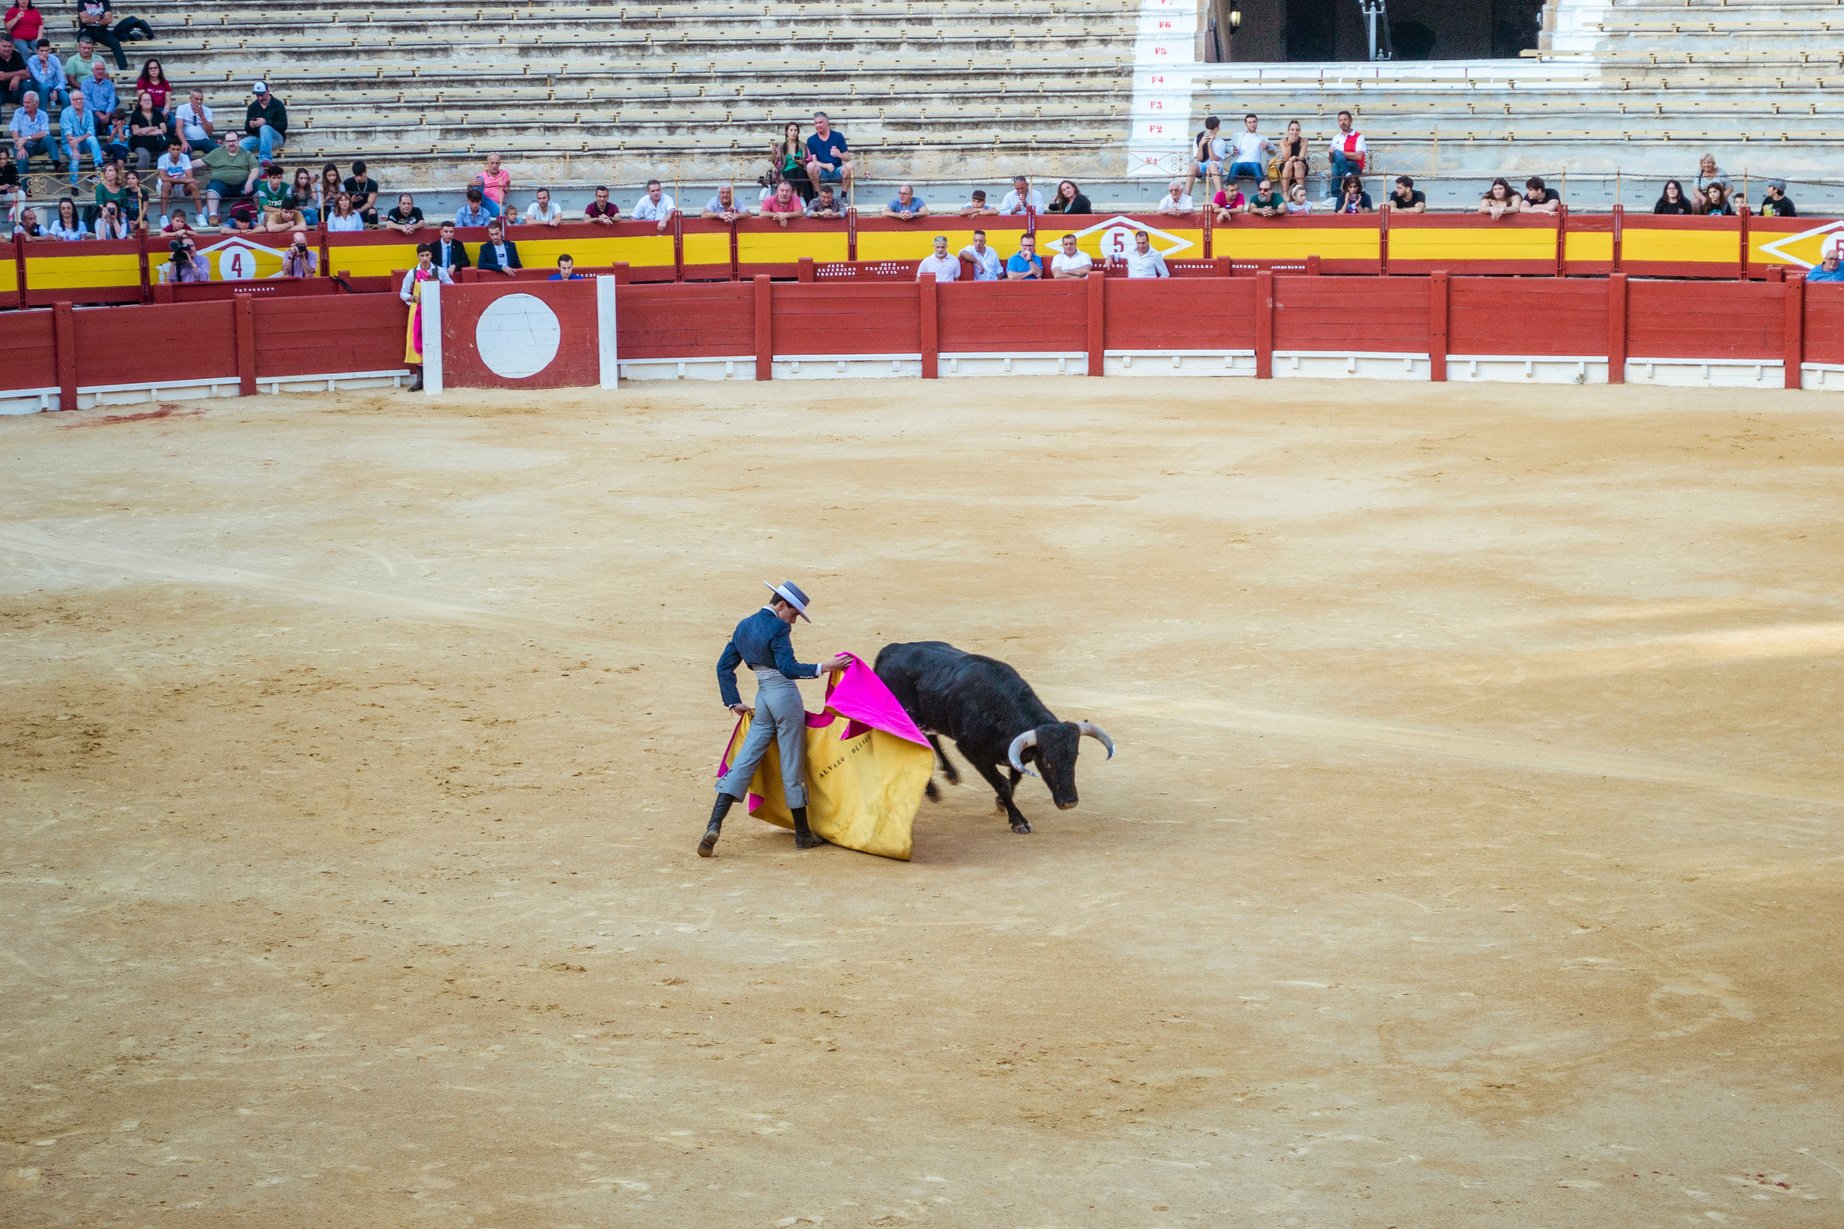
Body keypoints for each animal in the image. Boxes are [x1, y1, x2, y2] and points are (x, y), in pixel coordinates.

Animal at [870, 642, 1113, 834]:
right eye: (1046, 761)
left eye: (1074, 757)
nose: (1069, 802)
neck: (1000, 710)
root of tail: (889, 650)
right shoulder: (971, 751)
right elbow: (1003, 783)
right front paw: (1018, 821)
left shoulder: (1016, 753)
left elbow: (1015, 777)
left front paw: (1002, 804)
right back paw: (932, 790)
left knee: (931, 741)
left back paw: (951, 774)